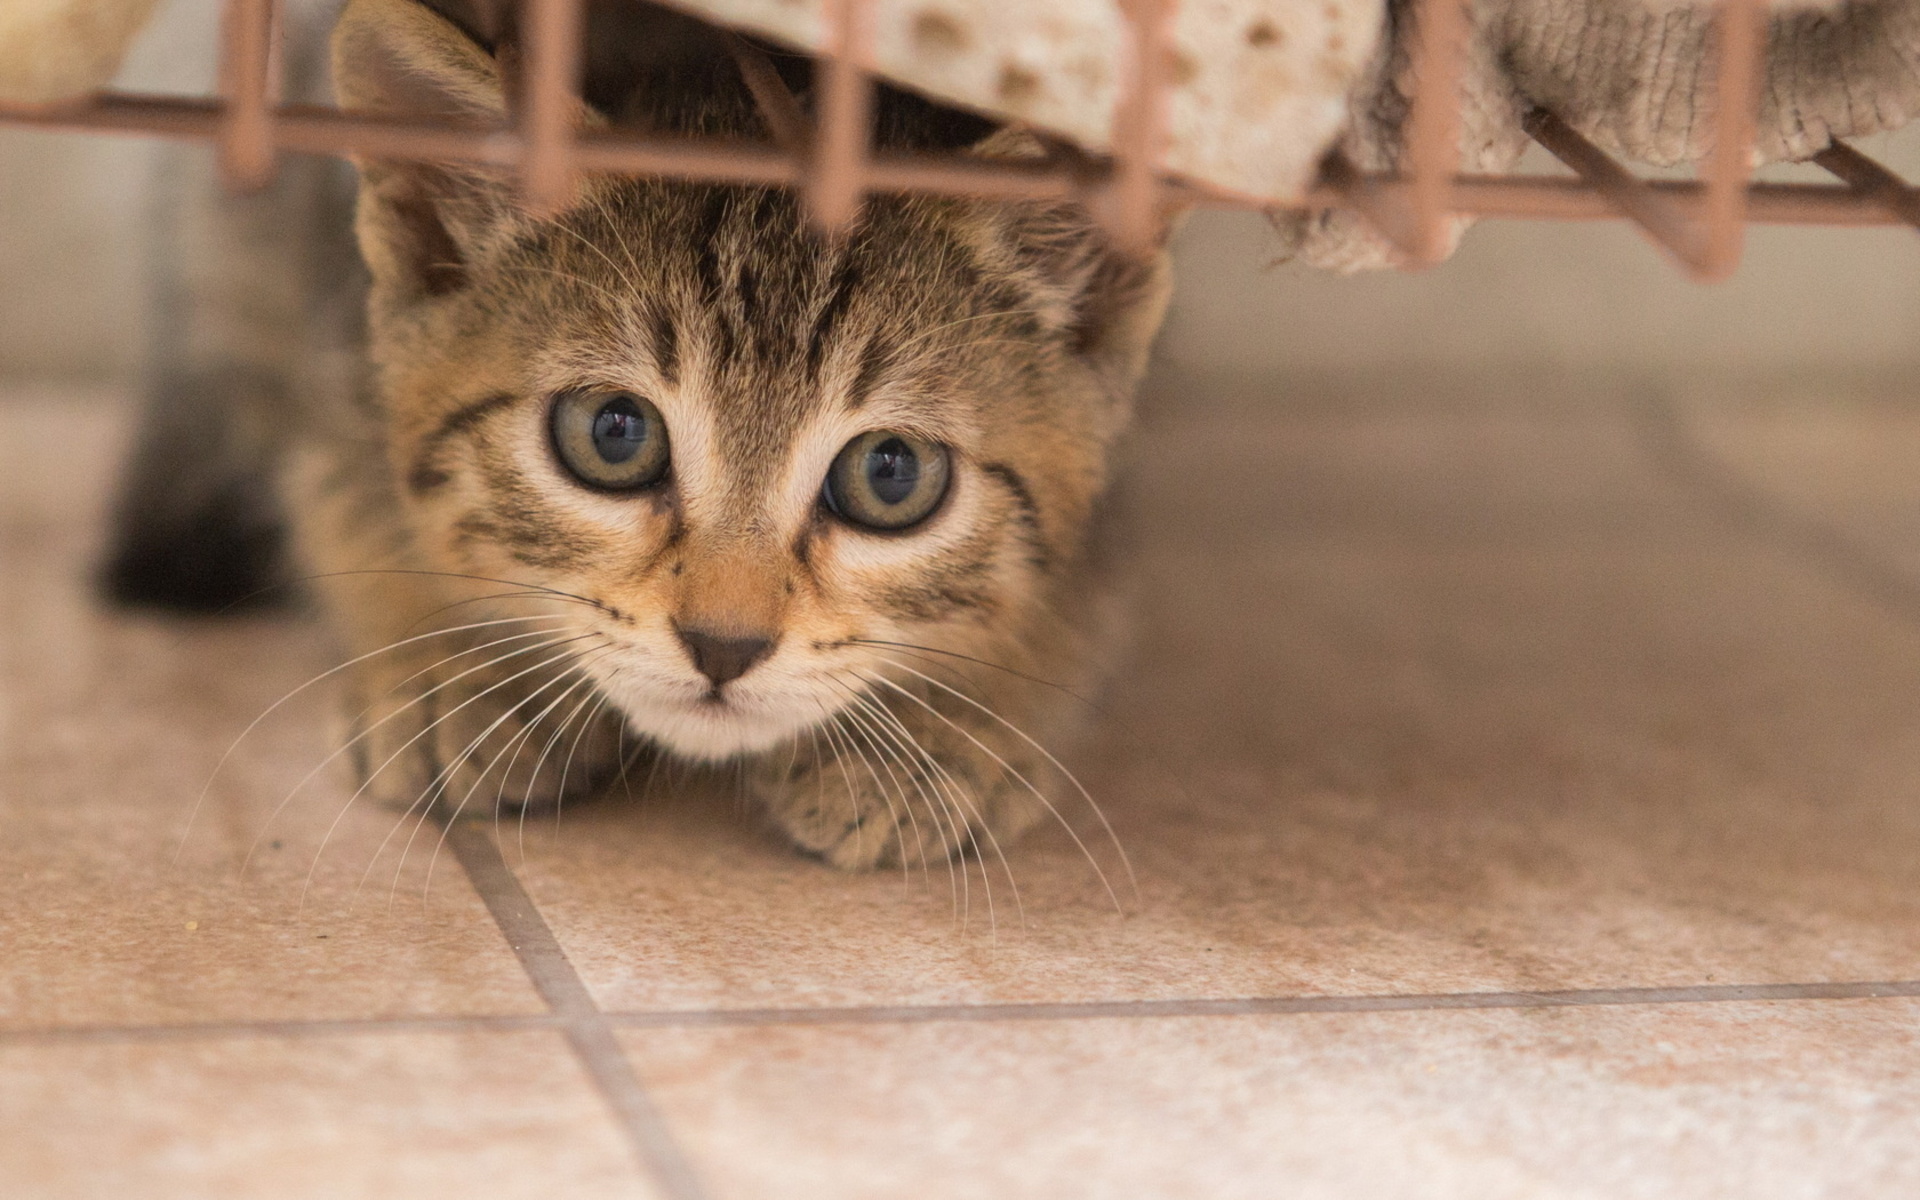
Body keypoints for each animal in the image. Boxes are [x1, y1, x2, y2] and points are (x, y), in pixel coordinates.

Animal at [293, 0, 1175, 864]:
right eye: (613, 434)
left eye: (891, 472)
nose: (723, 647)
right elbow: (346, 492)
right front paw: (451, 666)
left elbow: (1079, 594)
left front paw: (949, 727)